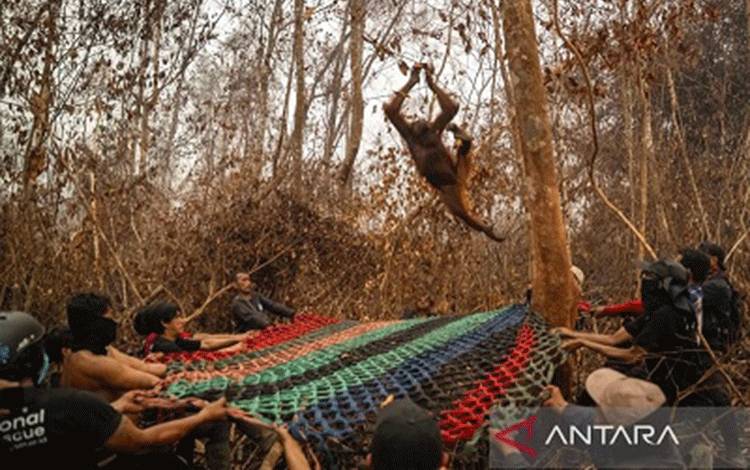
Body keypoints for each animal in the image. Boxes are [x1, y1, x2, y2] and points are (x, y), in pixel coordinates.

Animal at [383, 63, 504, 242]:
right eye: (418, 123)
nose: (421, 121)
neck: (422, 138)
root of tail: (459, 182)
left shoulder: (433, 129)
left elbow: (450, 109)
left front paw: (429, 80)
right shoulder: (409, 133)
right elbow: (391, 111)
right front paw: (415, 77)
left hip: (457, 178)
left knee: (460, 207)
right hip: (449, 188)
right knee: (458, 209)